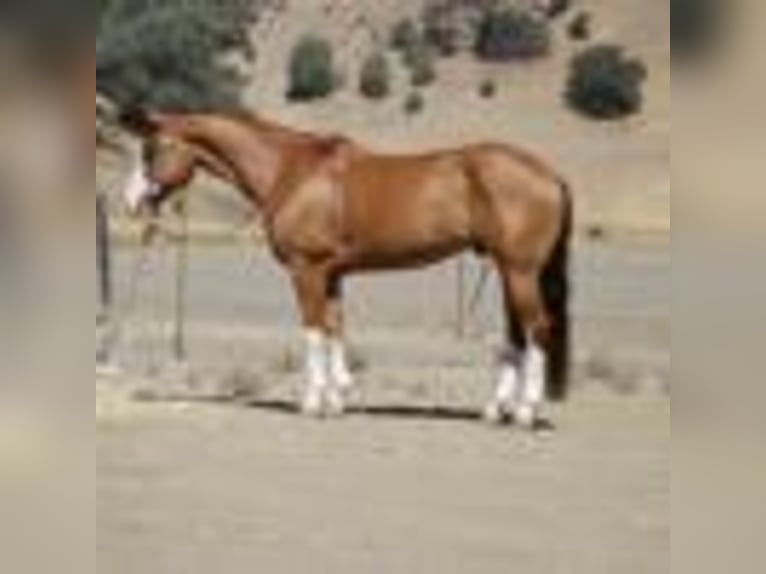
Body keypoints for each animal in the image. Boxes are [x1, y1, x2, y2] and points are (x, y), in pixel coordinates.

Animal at [118, 108, 573, 428]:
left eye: (151, 150)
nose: (130, 202)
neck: (289, 168)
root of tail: (550, 174)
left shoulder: (306, 270)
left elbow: (313, 331)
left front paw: (311, 402)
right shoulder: (332, 274)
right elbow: (336, 327)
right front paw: (338, 398)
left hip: (520, 271)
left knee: (537, 329)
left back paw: (526, 412)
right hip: (509, 271)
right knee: (516, 334)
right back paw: (496, 410)